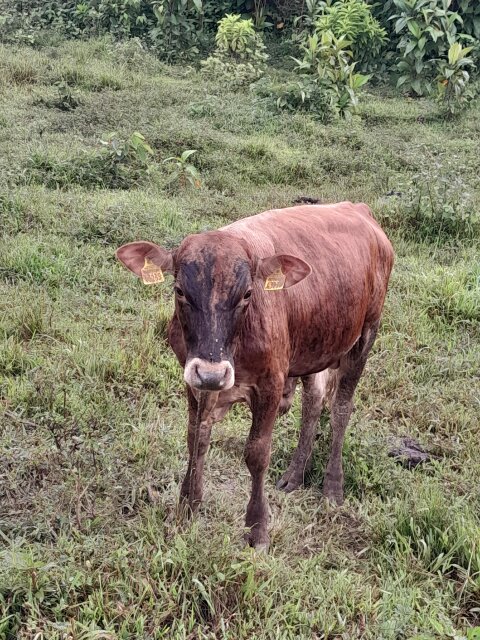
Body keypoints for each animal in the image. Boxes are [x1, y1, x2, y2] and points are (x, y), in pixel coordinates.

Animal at [116, 202, 394, 551]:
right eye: (179, 290)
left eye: (248, 294)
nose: (213, 373)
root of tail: (358, 208)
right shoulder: (196, 379)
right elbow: (196, 438)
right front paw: (188, 507)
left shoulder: (270, 384)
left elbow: (257, 454)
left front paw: (257, 528)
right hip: (314, 348)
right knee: (313, 402)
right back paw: (295, 475)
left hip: (365, 335)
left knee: (341, 408)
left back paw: (333, 487)